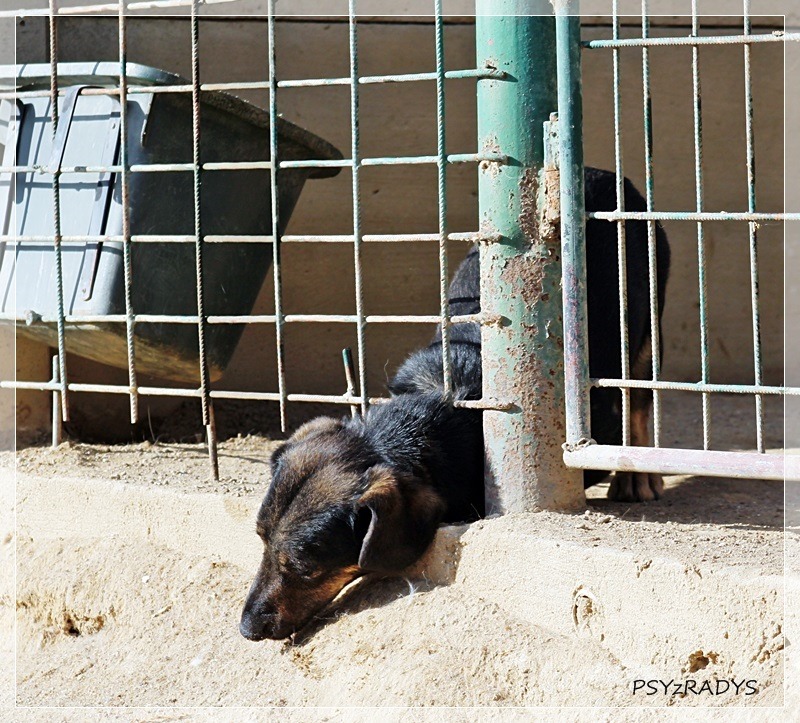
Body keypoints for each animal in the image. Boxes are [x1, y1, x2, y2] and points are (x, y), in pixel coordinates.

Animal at [239, 167, 670, 641]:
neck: (432, 412)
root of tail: (598, 173)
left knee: (640, 393)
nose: (245, 628)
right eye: (260, 539)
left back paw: (638, 478)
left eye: (305, 566)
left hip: (645, 319)